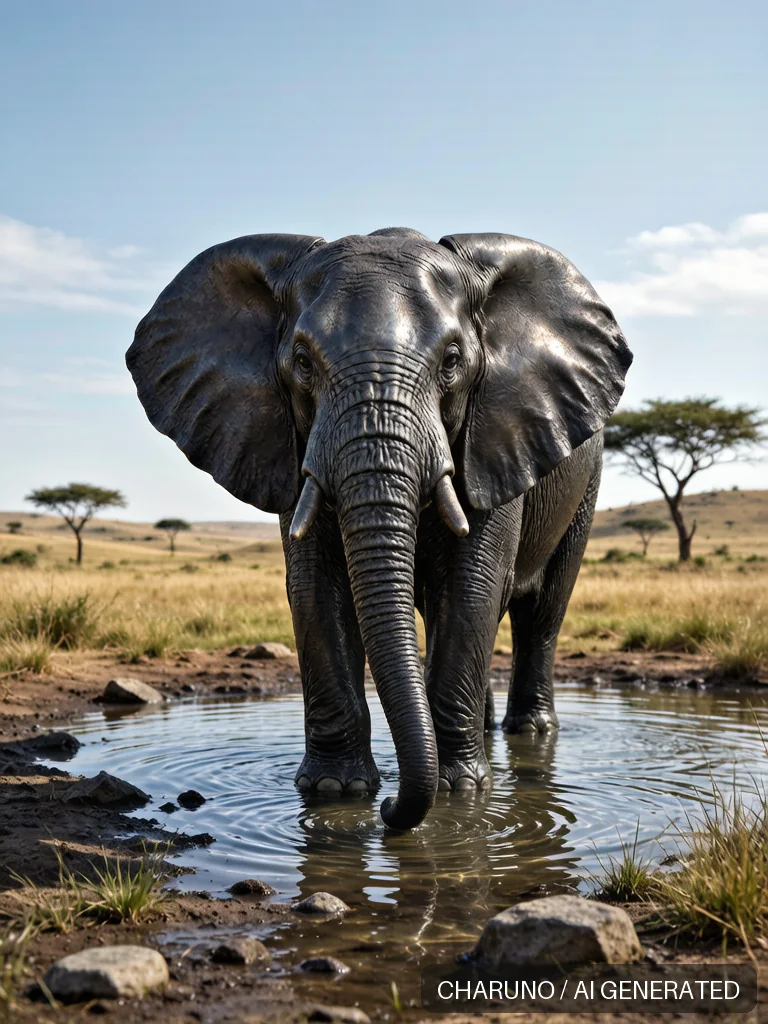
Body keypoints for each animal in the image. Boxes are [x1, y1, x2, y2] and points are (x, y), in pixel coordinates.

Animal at [126, 227, 632, 832]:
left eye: (453, 360)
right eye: (302, 361)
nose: (391, 809)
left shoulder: (493, 438)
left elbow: (474, 587)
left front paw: (459, 793)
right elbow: (315, 589)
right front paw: (335, 793)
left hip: (586, 487)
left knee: (541, 612)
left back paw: (529, 733)